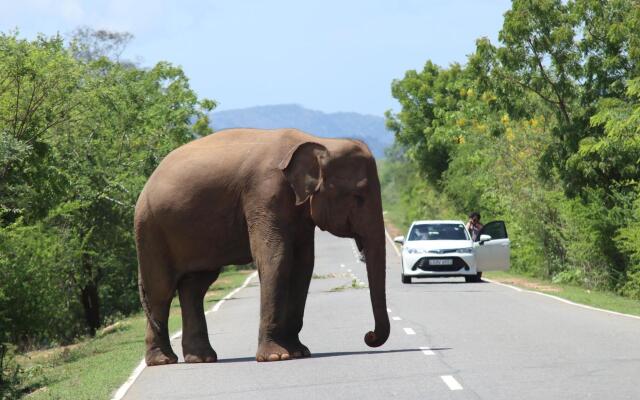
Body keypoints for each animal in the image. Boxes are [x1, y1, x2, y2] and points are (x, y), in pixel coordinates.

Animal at [135, 128, 390, 366]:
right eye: (358, 196)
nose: (369, 336)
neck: (319, 141)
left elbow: (303, 264)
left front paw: (299, 352)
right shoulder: (264, 192)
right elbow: (276, 258)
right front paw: (277, 356)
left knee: (196, 286)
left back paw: (201, 359)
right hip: (151, 229)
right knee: (161, 290)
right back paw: (163, 361)